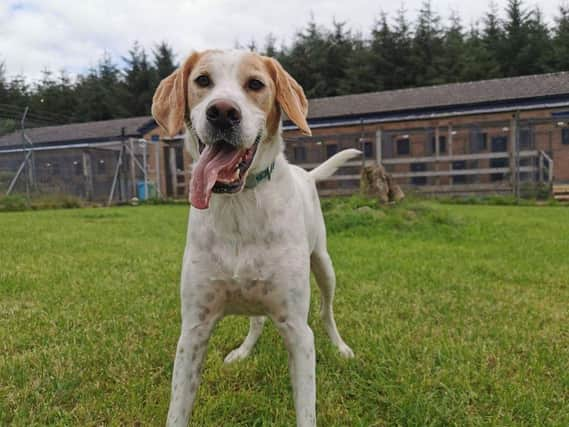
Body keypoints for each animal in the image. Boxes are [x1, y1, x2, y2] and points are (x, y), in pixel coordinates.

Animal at [151, 51, 356, 427]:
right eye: (202, 80)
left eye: (256, 84)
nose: (222, 112)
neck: (239, 205)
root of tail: (307, 175)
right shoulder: (194, 330)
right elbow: (177, 410)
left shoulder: (298, 331)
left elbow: (306, 410)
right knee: (257, 319)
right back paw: (242, 351)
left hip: (324, 265)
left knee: (326, 311)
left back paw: (341, 347)